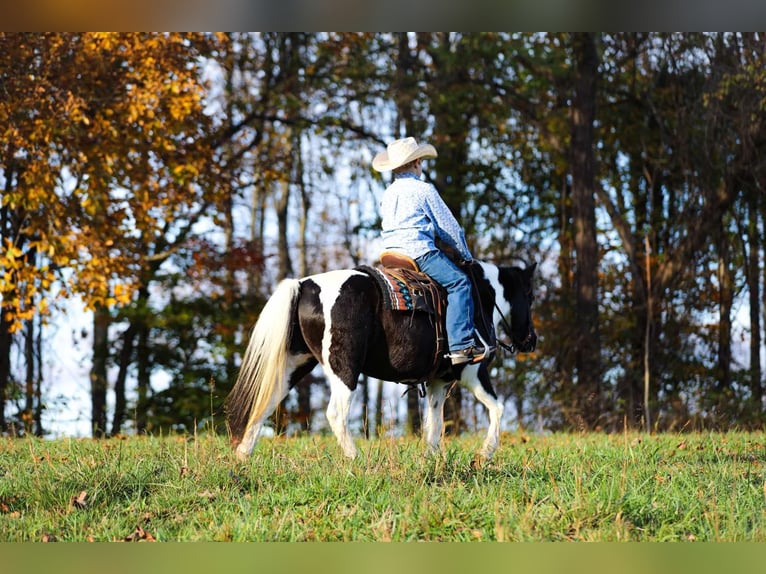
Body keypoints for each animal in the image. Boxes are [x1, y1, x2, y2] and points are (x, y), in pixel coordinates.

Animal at [225, 259, 537, 462]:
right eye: (531, 296)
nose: (531, 340)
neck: (481, 298)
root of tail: (305, 285)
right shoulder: (473, 372)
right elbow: (497, 408)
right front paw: (485, 453)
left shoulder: (438, 381)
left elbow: (434, 422)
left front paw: (432, 459)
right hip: (344, 367)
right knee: (335, 413)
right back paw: (355, 458)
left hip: (295, 363)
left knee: (264, 404)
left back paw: (242, 455)